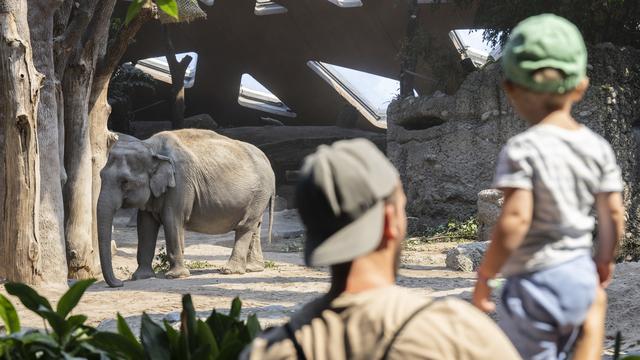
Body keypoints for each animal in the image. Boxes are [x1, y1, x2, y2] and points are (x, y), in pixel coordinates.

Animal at [97, 129, 276, 286]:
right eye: (100, 176)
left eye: (125, 182)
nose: (119, 283)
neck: (150, 147)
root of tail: (269, 162)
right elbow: (145, 226)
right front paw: (141, 277)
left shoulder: (181, 183)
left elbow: (172, 221)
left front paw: (175, 276)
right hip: (259, 196)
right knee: (255, 226)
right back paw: (253, 268)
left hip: (259, 192)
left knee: (245, 225)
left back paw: (230, 271)